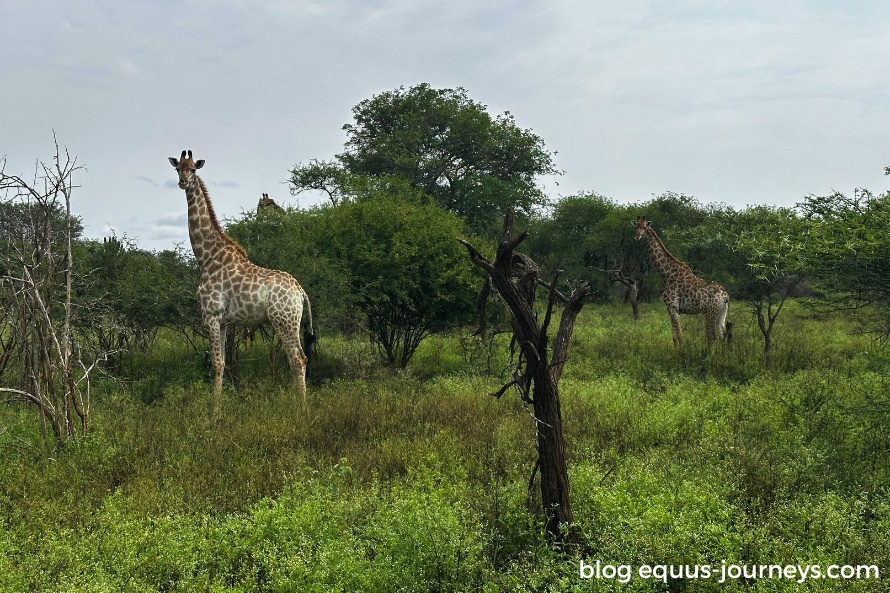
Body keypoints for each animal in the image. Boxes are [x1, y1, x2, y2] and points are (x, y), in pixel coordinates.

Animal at [170, 148, 316, 400]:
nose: (183, 182)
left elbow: (216, 364)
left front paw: (213, 407)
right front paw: (217, 402)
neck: (207, 257)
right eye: (178, 168)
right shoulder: (222, 321)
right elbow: (222, 363)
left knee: (297, 359)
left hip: (284, 320)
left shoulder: (210, 315)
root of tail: (301, 291)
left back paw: (300, 405)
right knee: (301, 357)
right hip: (292, 321)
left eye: (194, 169)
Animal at [628, 216, 724, 346]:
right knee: (723, 336)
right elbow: (674, 336)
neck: (668, 275)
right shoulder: (673, 309)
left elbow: (680, 336)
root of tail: (726, 296)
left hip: (709, 313)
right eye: (636, 226)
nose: (637, 236)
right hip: (721, 312)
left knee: (712, 337)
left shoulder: (672, 306)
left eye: (644, 227)